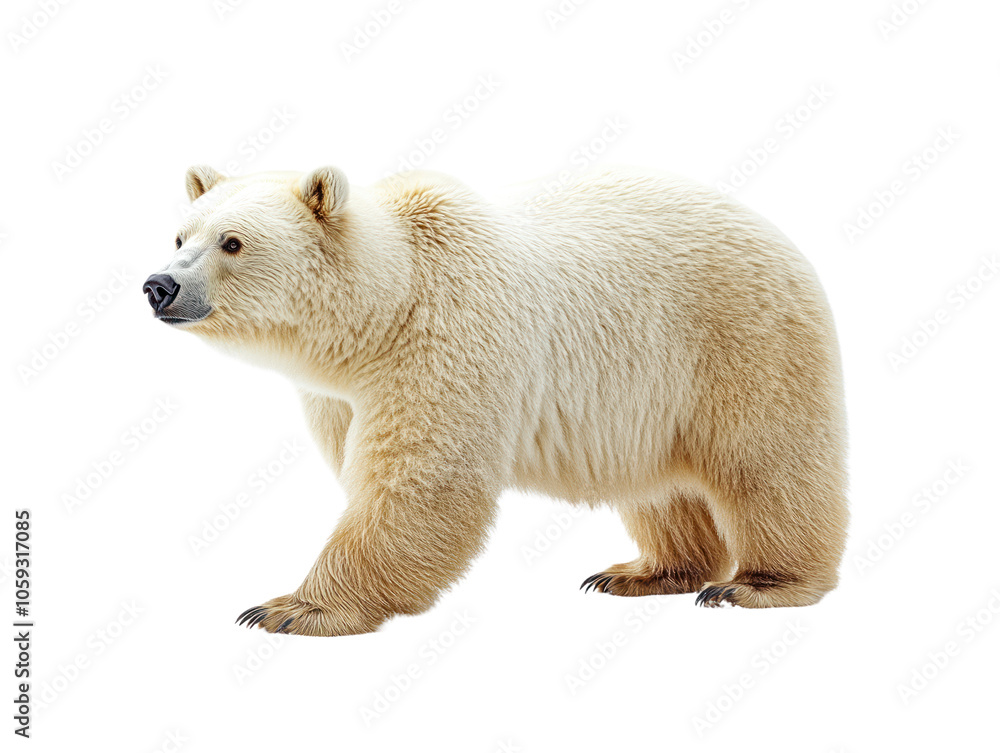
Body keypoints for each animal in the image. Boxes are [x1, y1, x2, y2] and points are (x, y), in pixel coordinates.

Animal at [143, 163, 848, 636]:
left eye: (233, 242)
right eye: (180, 236)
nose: (159, 286)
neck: (387, 308)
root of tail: (772, 229)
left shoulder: (446, 340)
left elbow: (422, 481)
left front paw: (292, 608)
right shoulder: (340, 394)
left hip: (737, 339)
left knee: (768, 461)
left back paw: (758, 584)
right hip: (648, 395)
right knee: (659, 486)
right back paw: (642, 572)